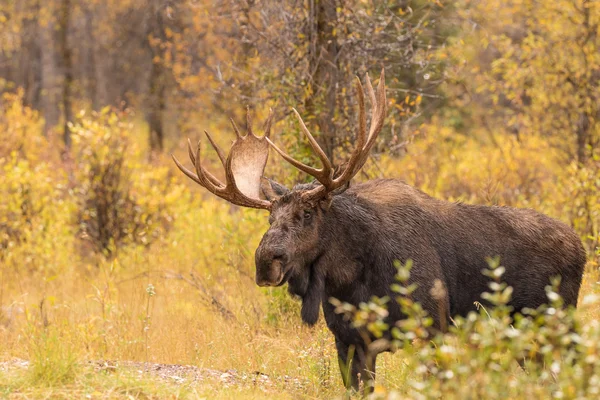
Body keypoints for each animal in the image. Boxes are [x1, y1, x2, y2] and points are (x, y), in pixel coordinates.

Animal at [171, 71, 584, 390]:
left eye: (307, 212)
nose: (265, 262)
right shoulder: (350, 342)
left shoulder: (432, 331)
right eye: (269, 219)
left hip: (552, 324)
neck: (352, 280)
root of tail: (581, 248)